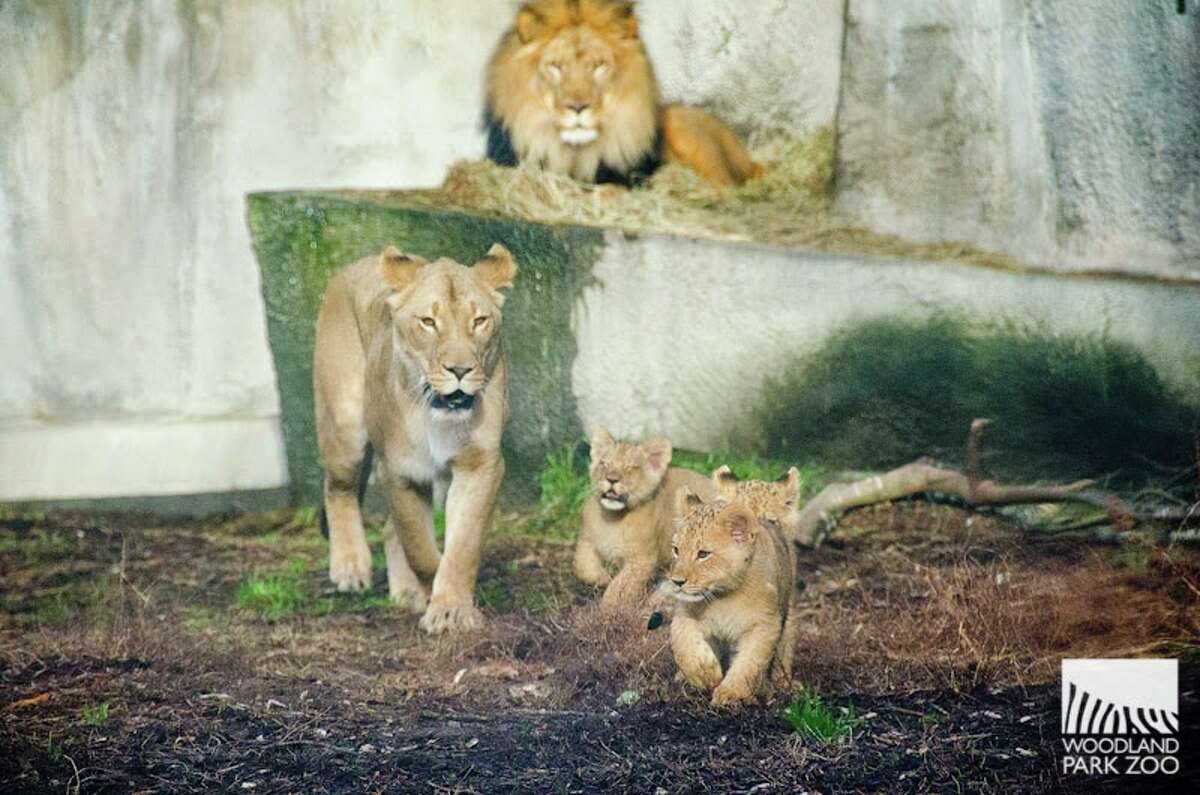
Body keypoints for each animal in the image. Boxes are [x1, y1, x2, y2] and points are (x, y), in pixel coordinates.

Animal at [313, 243, 517, 634]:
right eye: (428, 322)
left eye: (479, 321)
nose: (460, 370)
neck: (437, 415)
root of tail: (350, 268)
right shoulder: (400, 471)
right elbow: (418, 546)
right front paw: (436, 590)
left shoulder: (480, 465)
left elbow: (462, 544)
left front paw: (450, 608)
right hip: (345, 426)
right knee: (338, 490)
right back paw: (350, 567)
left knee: (388, 529)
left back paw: (405, 591)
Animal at [573, 429, 715, 612]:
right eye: (604, 464)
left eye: (631, 467)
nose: (611, 479)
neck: (612, 518)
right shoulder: (586, 540)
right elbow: (582, 566)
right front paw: (602, 578)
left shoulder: (641, 559)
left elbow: (620, 586)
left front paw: (608, 611)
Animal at [665, 491, 800, 706]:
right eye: (676, 550)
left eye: (703, 554)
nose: (677, 581)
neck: (722, 595)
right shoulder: (685, 614)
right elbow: (685, 646)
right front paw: (706, 676)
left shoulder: (764, 624)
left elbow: (750, 662)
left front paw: (731, 693)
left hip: (789, 616)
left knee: (783, 653)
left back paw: (781, 684)